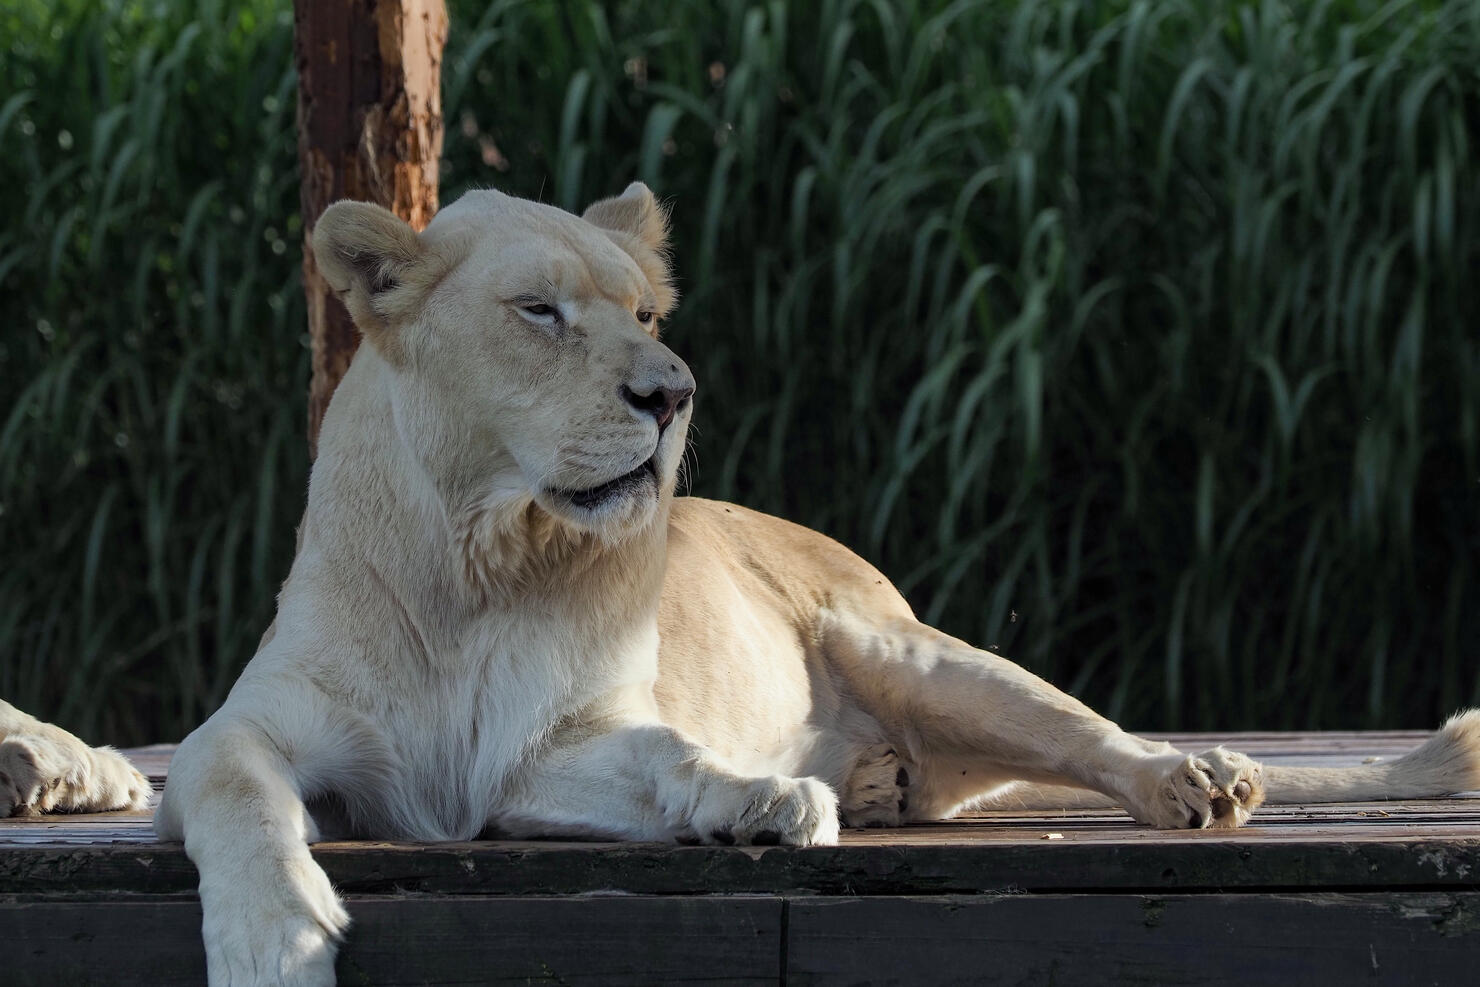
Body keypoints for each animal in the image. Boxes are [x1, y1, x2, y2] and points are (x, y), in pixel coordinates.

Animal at [90, 181, 1471, 985]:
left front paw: (762, 799)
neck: (484, 556)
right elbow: (238, 793)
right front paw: (272, 939)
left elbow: (665, 752)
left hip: (919, 654)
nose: (672, 393)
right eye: (539, 312)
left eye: (646, 314)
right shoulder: (293, 739)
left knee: (1091, 735)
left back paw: (1189, 778)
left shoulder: (553, 740)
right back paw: (873, 782)